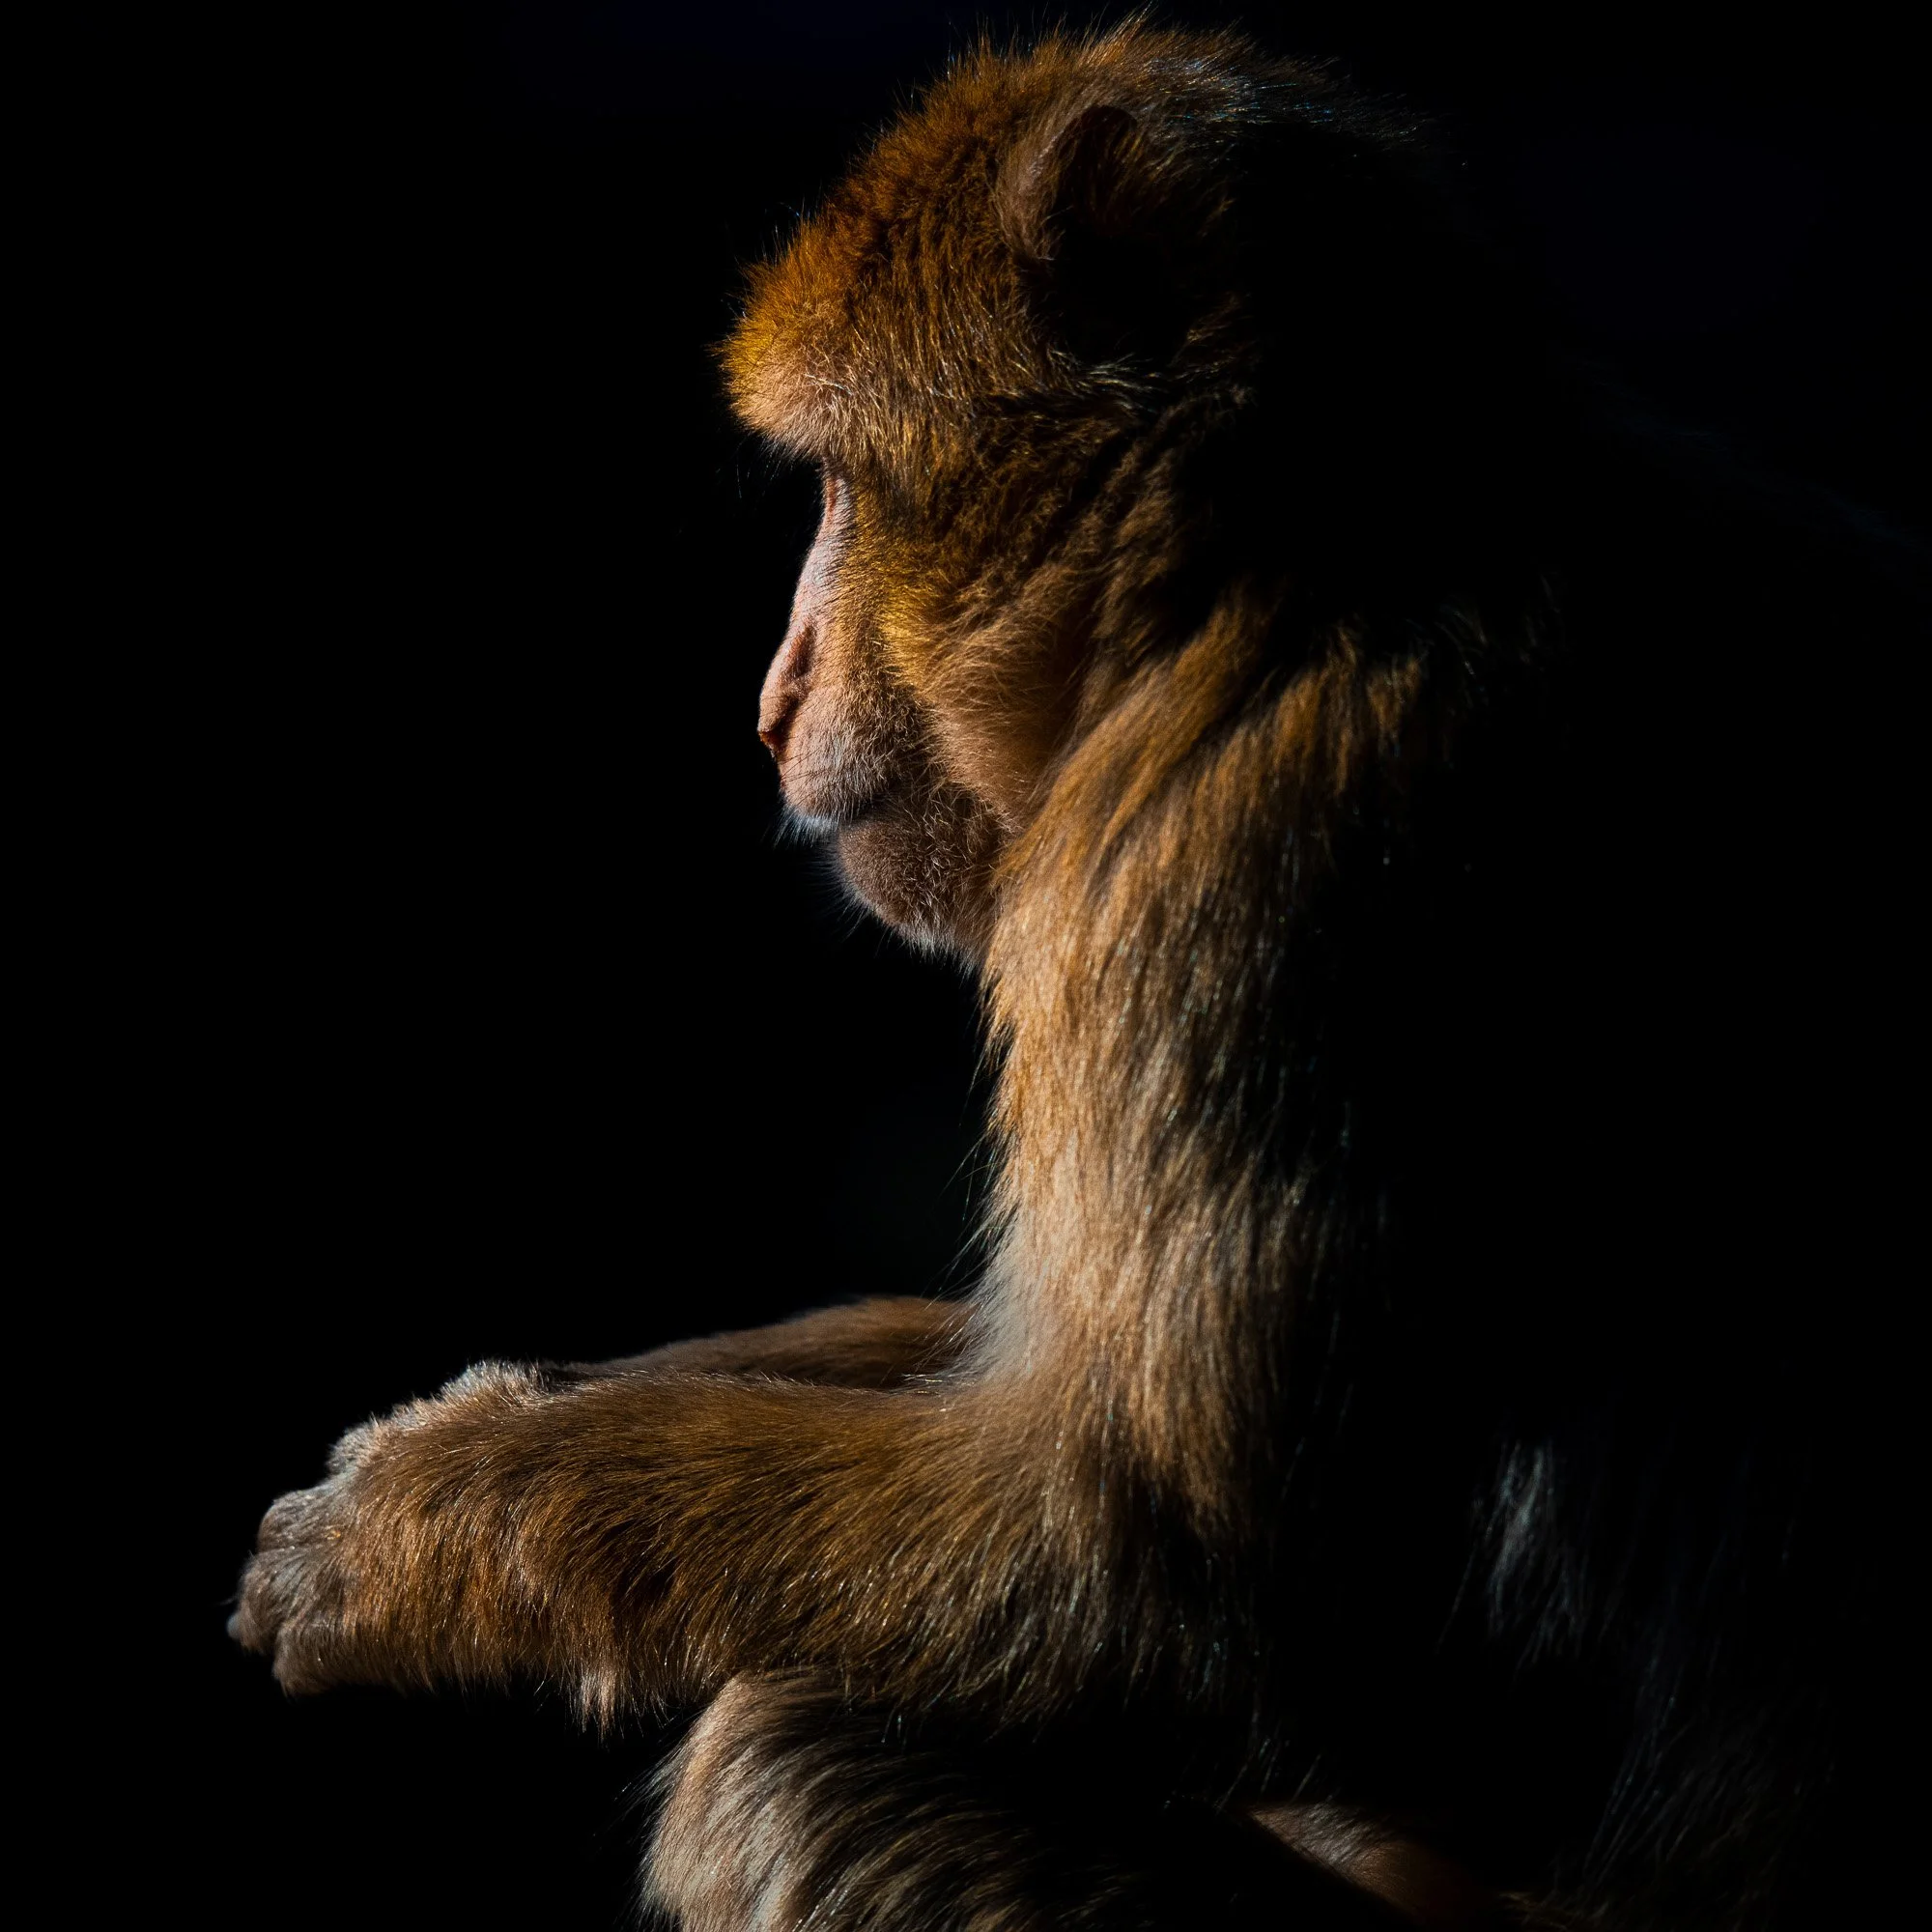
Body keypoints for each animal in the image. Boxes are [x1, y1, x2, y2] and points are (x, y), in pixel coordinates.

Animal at [232, 26, 1917, 1929]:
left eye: (839, 491)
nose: (770, 692)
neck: (1303, 567)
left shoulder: (1244, 863)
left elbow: (1163, 1600)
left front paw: (437, 1522)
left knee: (795, 1758)